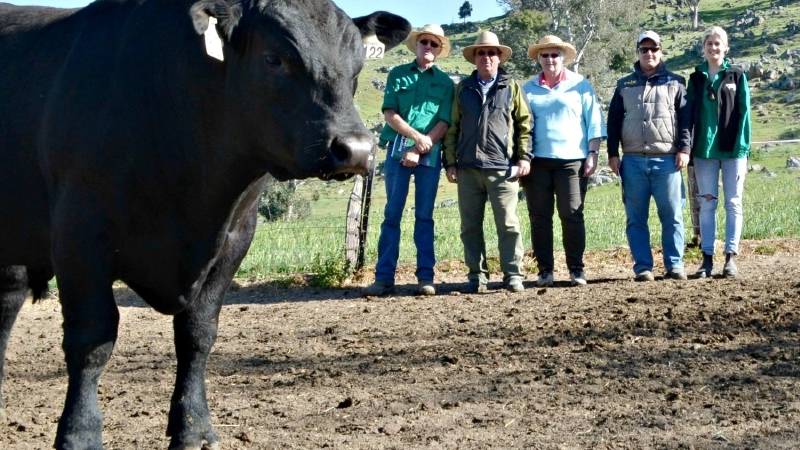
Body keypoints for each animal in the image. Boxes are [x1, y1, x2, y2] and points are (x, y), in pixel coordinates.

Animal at [0, 1, 410, 448]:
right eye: (274, 59)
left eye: (356, 66)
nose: (356, 149)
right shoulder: (80, 237)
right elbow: (92, 339)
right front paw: (80, 433)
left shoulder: (234, 238)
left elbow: (198, 334)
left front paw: (194, 427)